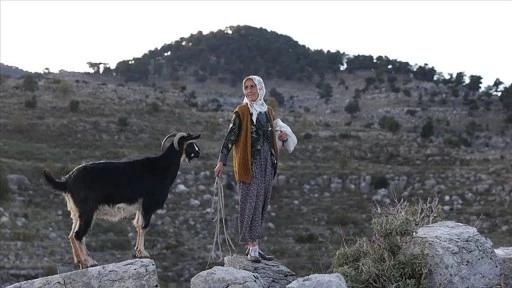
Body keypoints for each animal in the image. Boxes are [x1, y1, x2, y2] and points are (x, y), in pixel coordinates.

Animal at [43, 132, 201, 268]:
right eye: (190, 143)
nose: (199, 153)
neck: (161, 167)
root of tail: (67, 181)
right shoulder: (148, 204)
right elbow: (144, 226)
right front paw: (144, 253)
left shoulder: (140, 207)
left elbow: (138, 225)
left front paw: (138, 252)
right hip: (87, 211)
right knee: (78, 235)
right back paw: (89, 262)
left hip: (76, 212)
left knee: (72, 235)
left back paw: (82, 262)